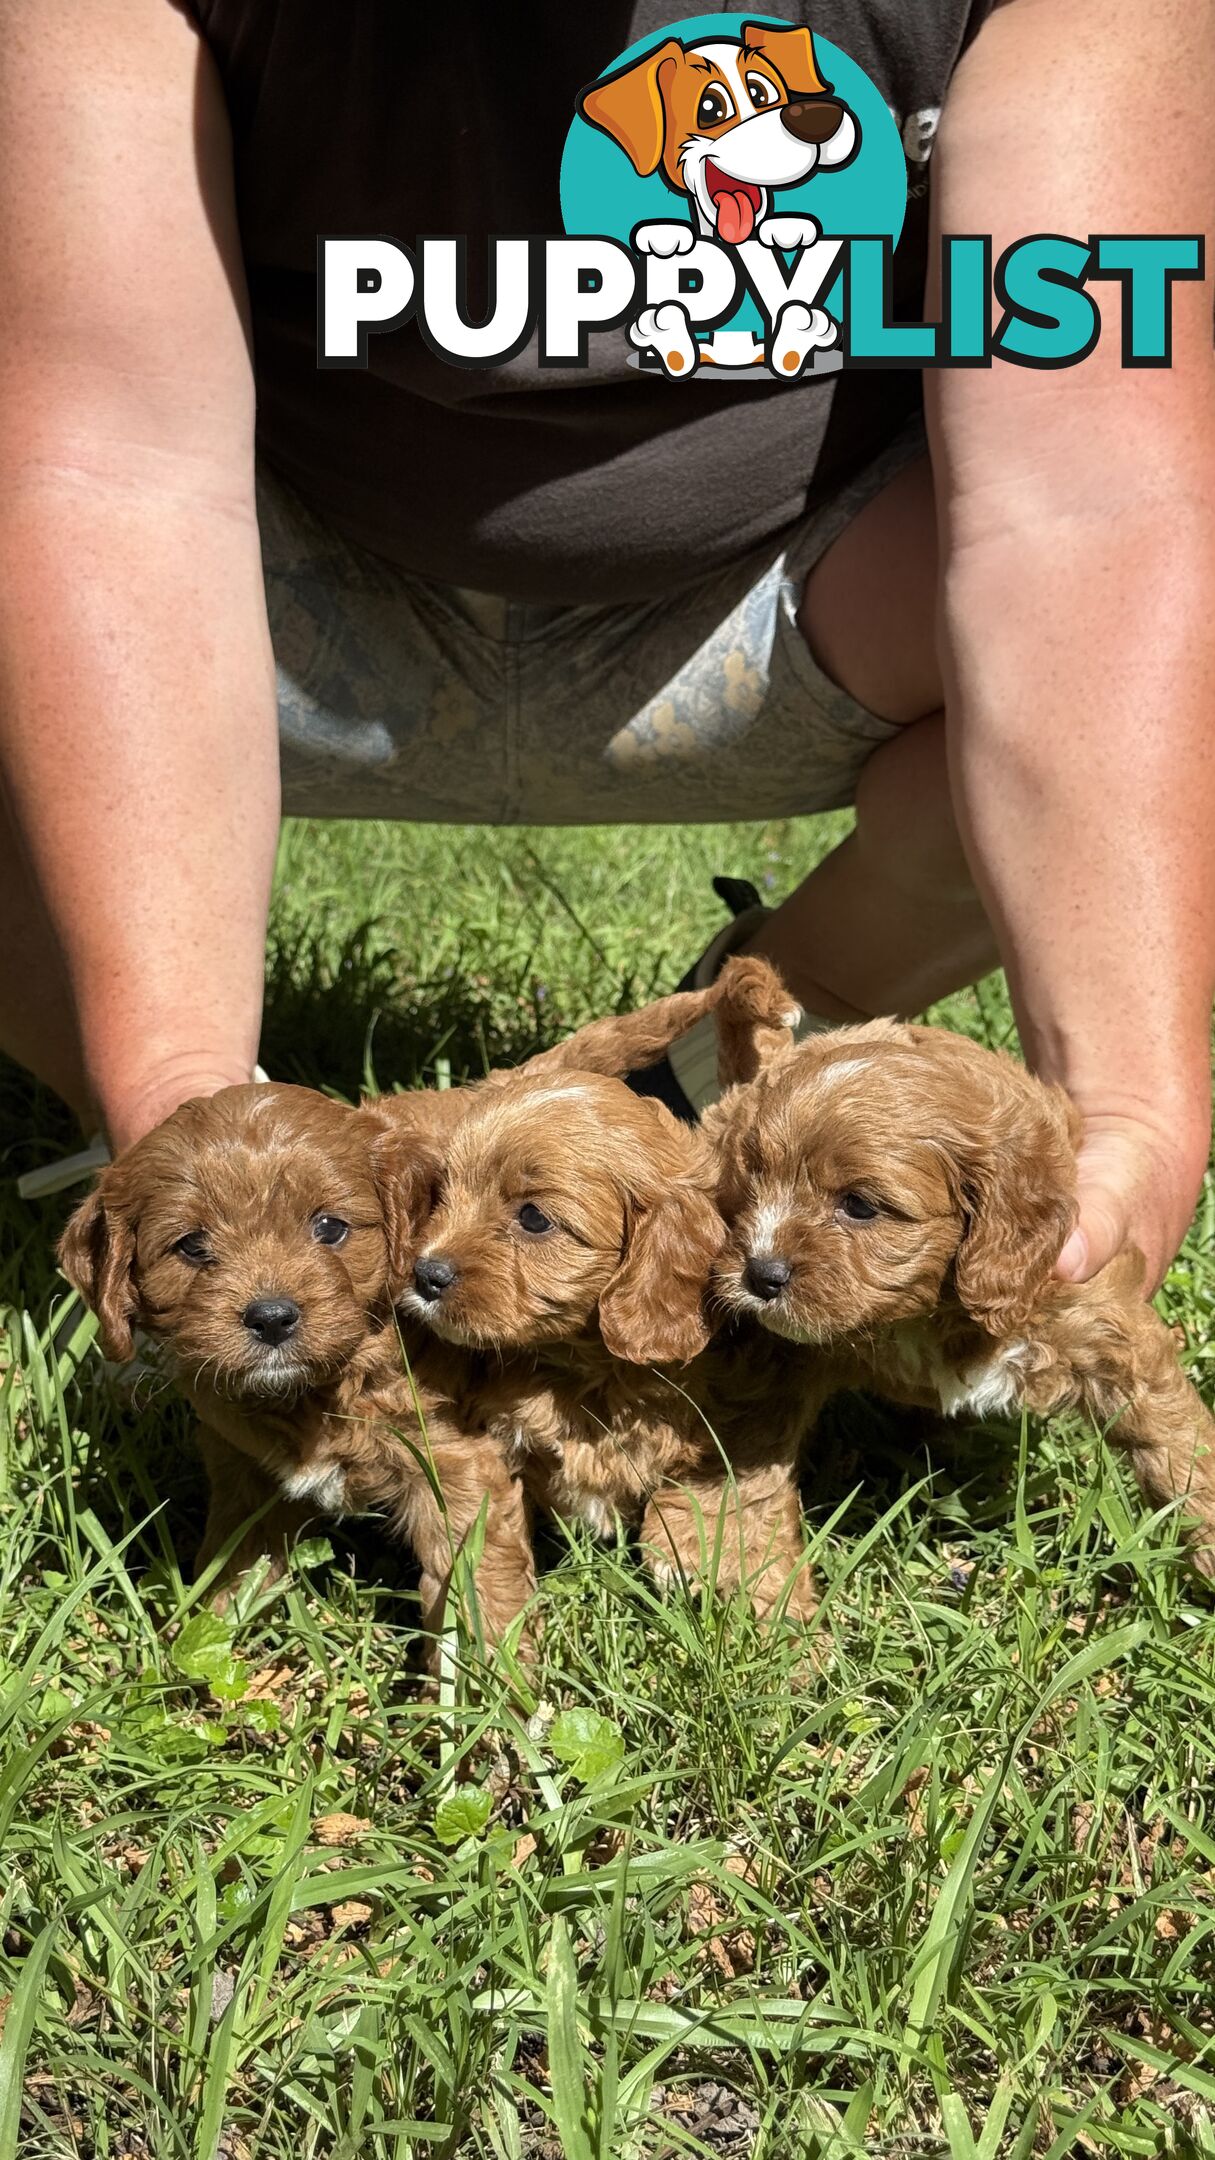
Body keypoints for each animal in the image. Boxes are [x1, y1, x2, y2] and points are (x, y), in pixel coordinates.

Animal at [55, 1088, 529, 1641]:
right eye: (192, 1246)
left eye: (330, 1228)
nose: (272, 1318)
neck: (321, 1391)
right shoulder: (244, 1467)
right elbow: (236, 1560)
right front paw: (212, 1627)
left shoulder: (455, 1462)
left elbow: (476, 1577)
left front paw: (488, 1657)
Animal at [386, 963, 821, 1624]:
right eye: (442, 1195)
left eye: (533, 1219)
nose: (424, 1275)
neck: (589, 1368)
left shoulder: (750, 1413)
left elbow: (749, 1515)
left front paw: (793, 1635)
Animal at [709, 1010, 1210, 1572]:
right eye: (752, 1183)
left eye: (858, 1205)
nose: (760, 1273)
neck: (923, 1313)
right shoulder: (781, 1358)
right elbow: (750, 1455)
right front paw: (749, 1569)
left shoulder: (1099, 1323)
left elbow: (1173, 1438)